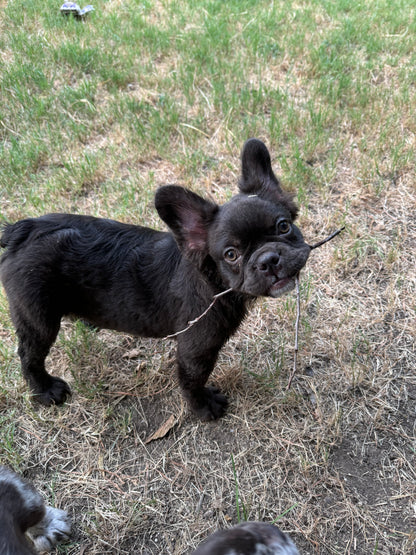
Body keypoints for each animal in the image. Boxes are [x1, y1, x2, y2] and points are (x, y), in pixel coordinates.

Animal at [0, 139, 310, 422]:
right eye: (231, 254)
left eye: (284, 226)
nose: (268, 259)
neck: (214, 281)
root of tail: (22, 229)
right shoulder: (197, 347)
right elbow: (193, 378)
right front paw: (203, 407)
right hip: (38, 318)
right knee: (29, 355)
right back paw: (45, 390)